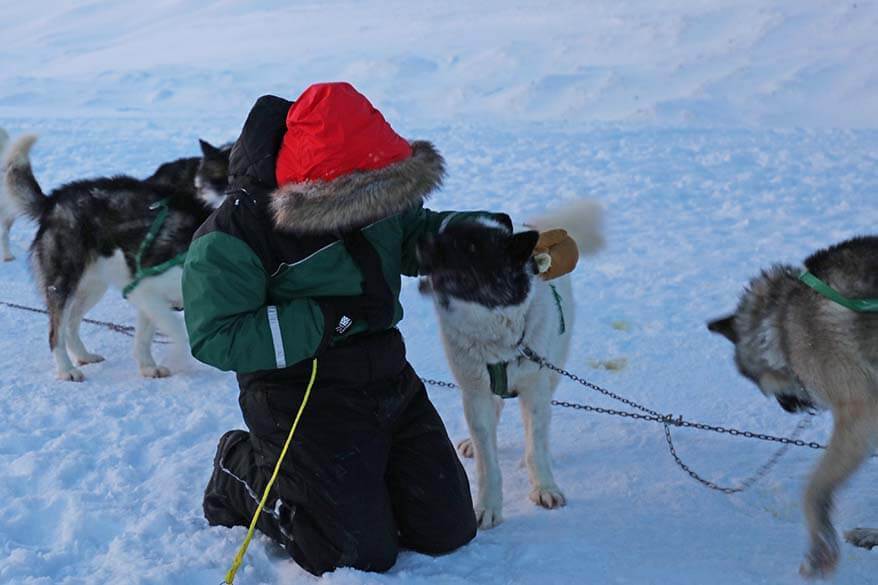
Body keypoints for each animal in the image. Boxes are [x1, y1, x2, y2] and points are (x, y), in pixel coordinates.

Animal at [3, 136, 218, 384]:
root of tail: (54, 200)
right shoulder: (145, 288)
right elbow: (177, 331)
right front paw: (177, 359)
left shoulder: (147, 294)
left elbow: (144, 336)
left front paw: (148, 367)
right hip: (63, 284)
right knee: (56, 333)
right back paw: (66, 369)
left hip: (93, 287)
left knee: (71, 324)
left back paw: (83, 355)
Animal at [420, 201, 604, 528]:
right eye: (444, 233)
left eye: (469, 246)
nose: (419, 241)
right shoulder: (476, 392)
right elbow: (488, 461)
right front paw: (488, 506)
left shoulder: (535, 388)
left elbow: (536, 443)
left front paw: (544, 486)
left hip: (553, 370)